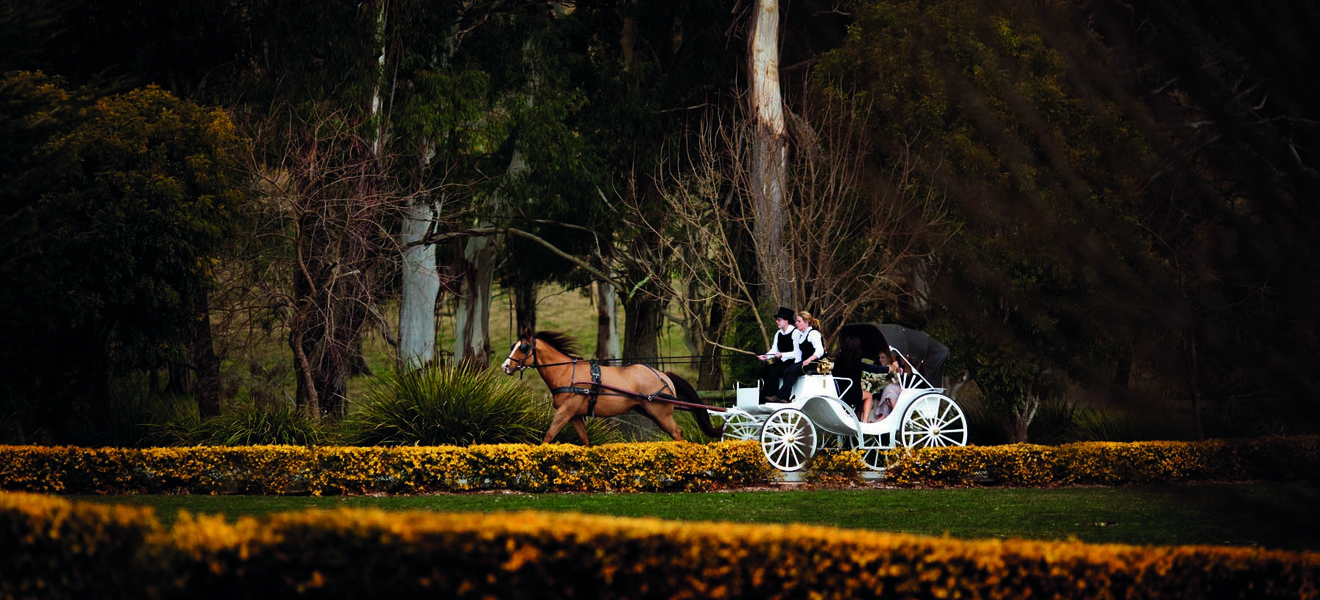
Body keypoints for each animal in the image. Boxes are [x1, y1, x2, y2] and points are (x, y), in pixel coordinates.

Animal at [504, 330, 728, 443]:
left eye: (523, 347)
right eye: (513, 345)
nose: (505, 366)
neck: (567, 374)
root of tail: (664, 375)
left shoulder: (565, 412)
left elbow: (548, 437)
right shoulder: (575, 415)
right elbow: (585, 440)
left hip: (660, 412)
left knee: (677, 433)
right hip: (648, 410)